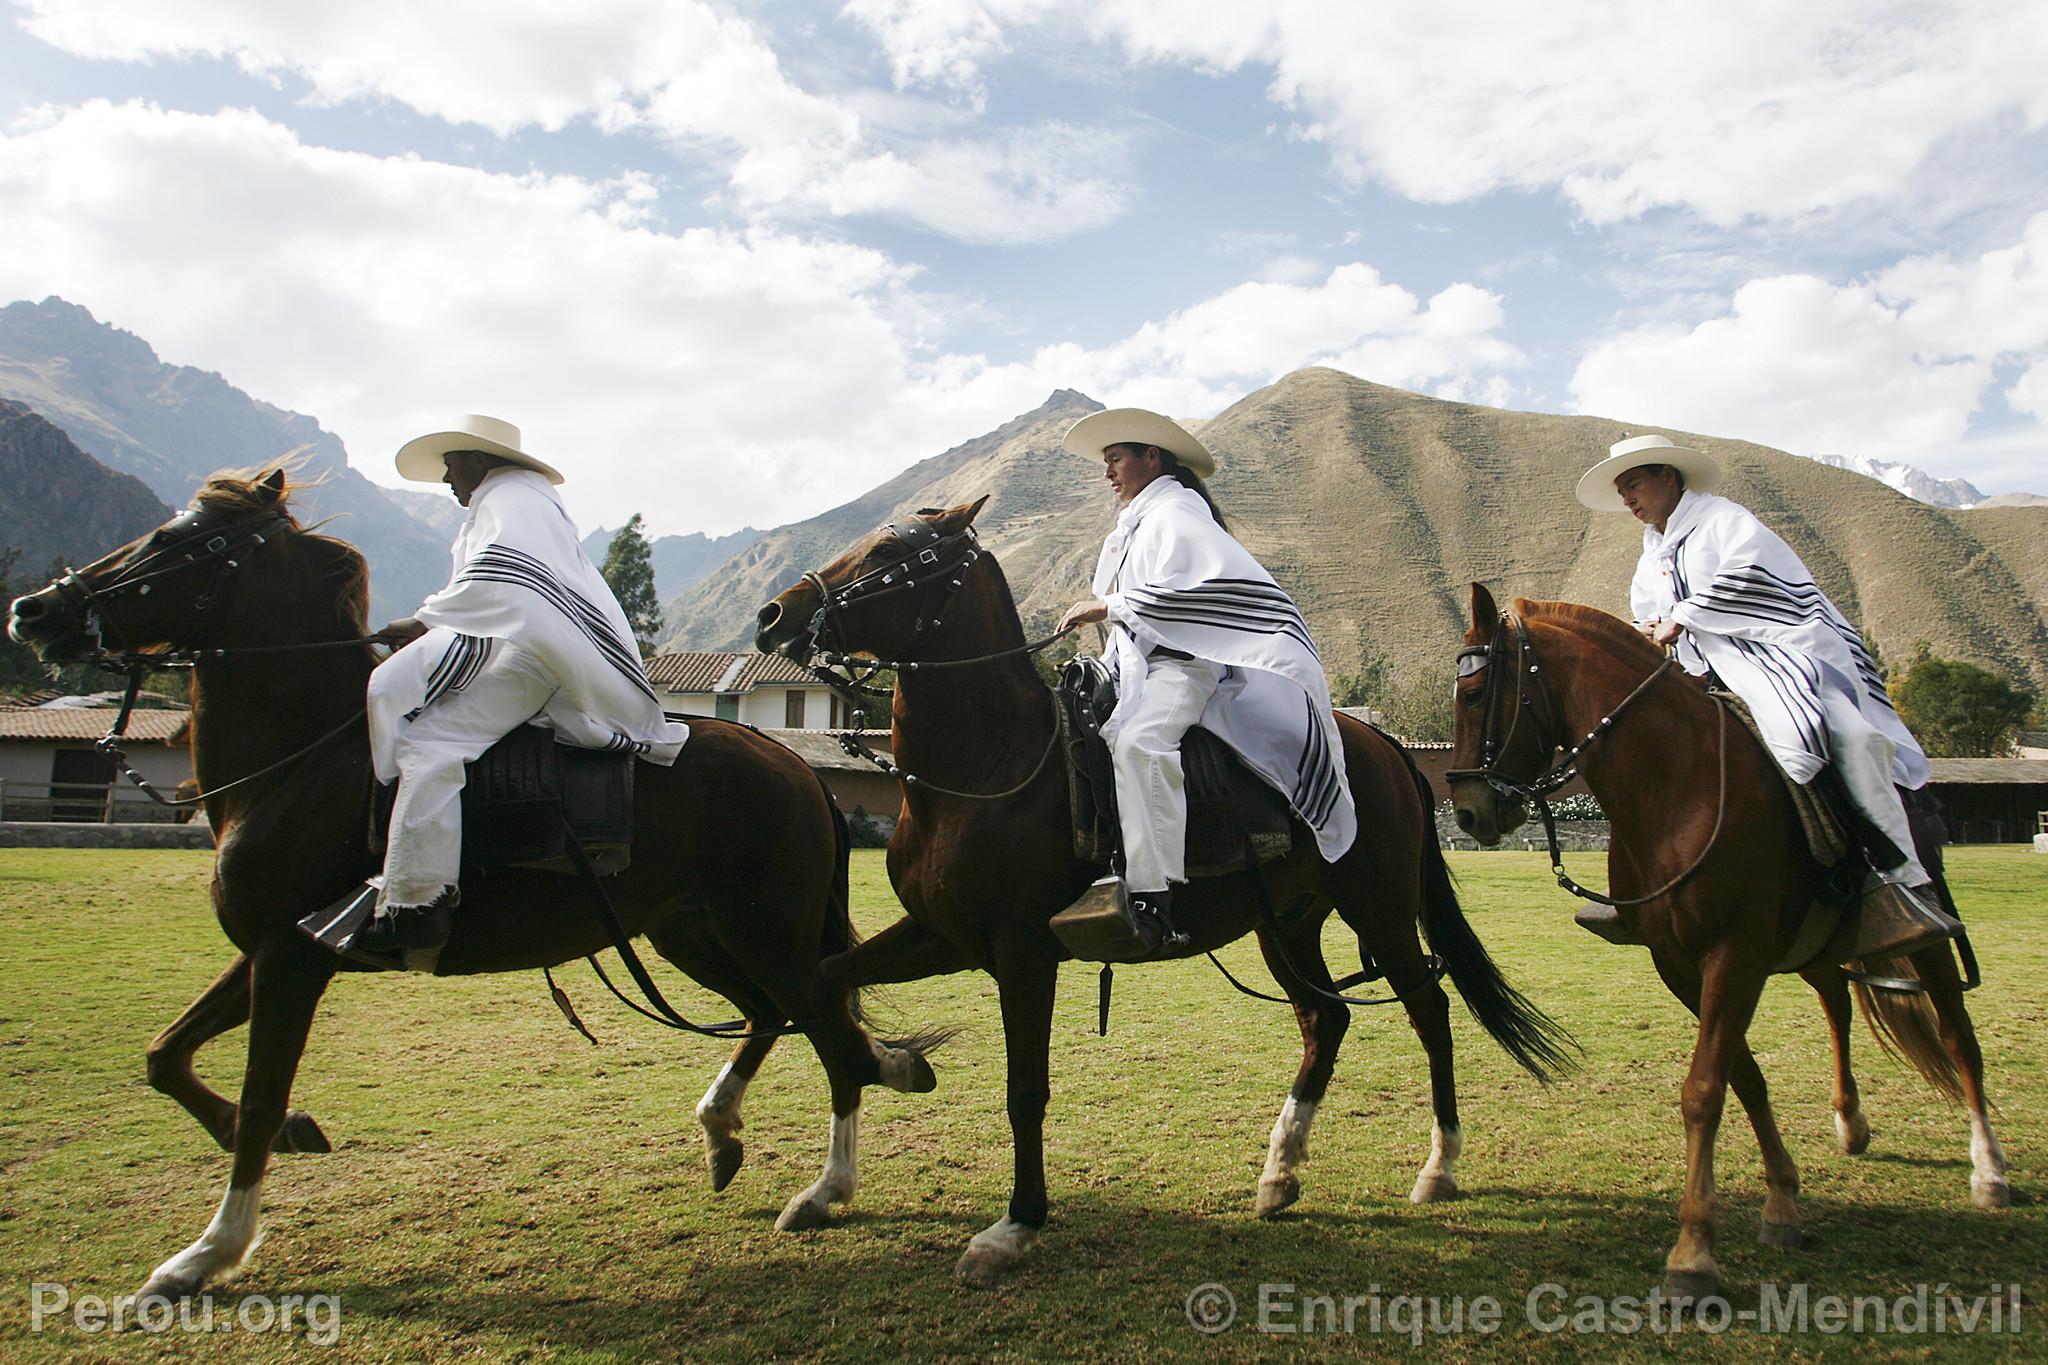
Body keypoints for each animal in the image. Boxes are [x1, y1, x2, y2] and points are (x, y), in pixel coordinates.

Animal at [0, 474, 937, 1301]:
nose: (36, 610)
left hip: (762, 931)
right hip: (693, 933)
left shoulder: (292, 957)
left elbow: (262, 1096)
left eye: (176, 540)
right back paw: (725, 1129)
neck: (305, 761)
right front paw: (283, 1144)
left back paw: (826, 1185)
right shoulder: (273, 947)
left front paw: (208, 1252)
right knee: (773, 1016)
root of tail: (793, 764)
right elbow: (166, 1054)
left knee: (829, 1034)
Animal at [761, 499, 1572, 1285]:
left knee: (1429, 1012)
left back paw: (1439, 1166)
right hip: (1287, 925)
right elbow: (824, 986)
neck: (988, 766)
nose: (776, 614)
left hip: (1380, 911)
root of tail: (1387, 748)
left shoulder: (1023, 954)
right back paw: (1280, 1172)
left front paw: (1014, 1226)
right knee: (1326, 1018)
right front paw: (842, 1157)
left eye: (893, 552)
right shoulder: (942, 936)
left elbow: (1025, 1090)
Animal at [1449, 585, 2007, 1301]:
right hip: (1816, 946)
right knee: (1838, 1006)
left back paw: (1989, 1170)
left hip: (1929, 933)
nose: (1468, 813)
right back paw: (1850, 1121)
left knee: (1960, 1038)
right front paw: (1782, 1203)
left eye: (1475, 693)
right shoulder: (1681, 965)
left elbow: (1704, 1089)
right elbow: (1744, 1078)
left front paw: (1693, 1255)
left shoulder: (1734, 956)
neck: (1674, 787)